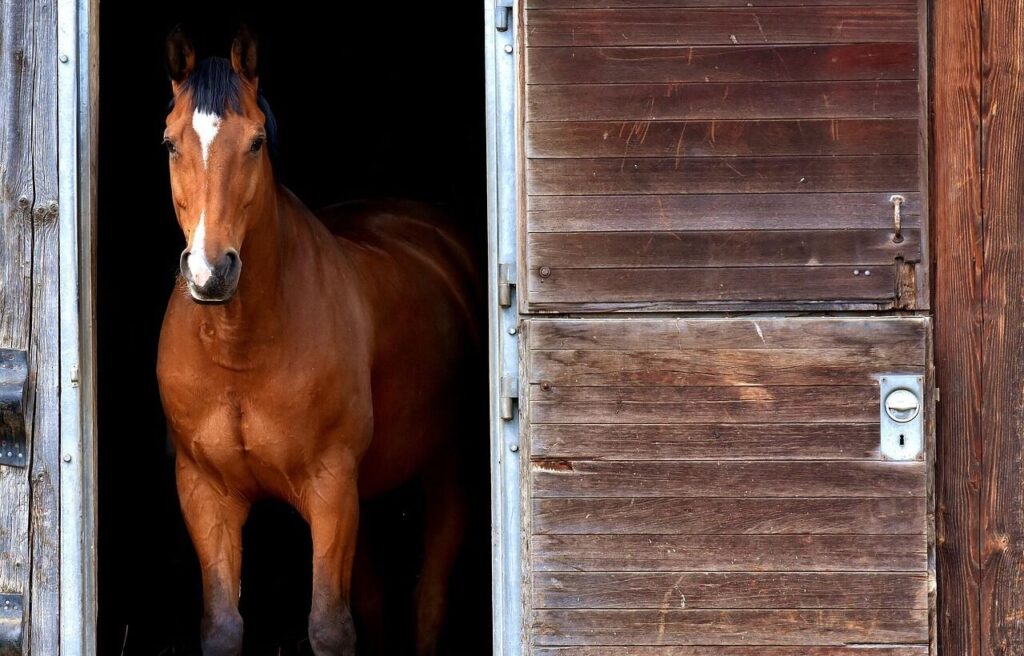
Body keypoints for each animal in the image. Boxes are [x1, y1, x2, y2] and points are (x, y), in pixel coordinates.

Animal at [155, 27, 483, 655]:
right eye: (170, 143)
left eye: (256, 142)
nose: (211, 272)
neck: (241, 350)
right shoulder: (203, 491)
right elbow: (223, 626)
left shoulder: (331, 487)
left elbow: (329, 626)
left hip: (443, 468)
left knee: (430, 594)